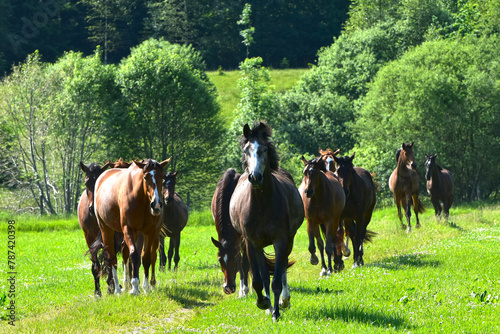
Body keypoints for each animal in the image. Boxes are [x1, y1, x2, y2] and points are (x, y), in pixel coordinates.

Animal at [93, 158, 171, 294]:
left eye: (162, 177)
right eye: (145, 177)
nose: (156, 205)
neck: (141, 198)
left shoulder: (149, 232)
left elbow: (146, 258)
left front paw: (145, 288)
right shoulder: (128, 229)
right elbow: (134, 255)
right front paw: (134, 288)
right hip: (106, 229)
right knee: (112, 257)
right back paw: (118, 289)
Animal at [229, 122, 302, 320]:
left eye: (263, 150)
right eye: (246, 150)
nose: (254, 177)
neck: (262, 204)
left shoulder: (280, 240)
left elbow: (276, 279)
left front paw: (276, 312)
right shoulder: (251, 243)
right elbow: (259, 279)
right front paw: (264, 303)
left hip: (289, 240)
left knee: (282, 266)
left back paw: (284, 301)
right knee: (264, 273)